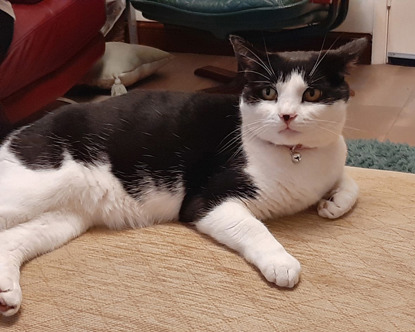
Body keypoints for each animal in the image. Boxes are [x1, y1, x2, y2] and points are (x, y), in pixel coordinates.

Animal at [0, 36, 368, 316]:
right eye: (268, 93)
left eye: (312, 94)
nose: (287, 115)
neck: (296, 156)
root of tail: (18, 132)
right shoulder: (206, 201)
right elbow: (253, 227)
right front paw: (282, 262)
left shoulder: (332, 158)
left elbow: (352, 182)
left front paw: (333, 203)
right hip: (32, 189)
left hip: (65, 217)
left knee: (10, 240)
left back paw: (6, 293)